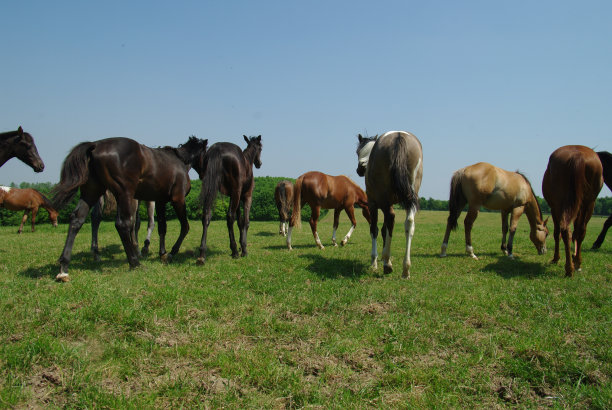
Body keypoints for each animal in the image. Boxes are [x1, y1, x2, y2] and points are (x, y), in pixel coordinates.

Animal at [50, 135, 208, 282]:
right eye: (205, 153)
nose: (204, 175)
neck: (179, 161)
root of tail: (96, 145)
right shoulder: (178, 199)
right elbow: (185, 227)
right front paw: (171, 253)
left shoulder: (160, 201)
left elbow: (162, 228)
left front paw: (162, 253)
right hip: (124, 194)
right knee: (123, 225)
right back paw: (135, 262)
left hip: (91, 192)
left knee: (77, 220)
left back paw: (64, 268)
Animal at [197, 133, 262, 264]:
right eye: (261, 148)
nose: (259, 163)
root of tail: (217, 149)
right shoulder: (246, 196)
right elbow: (245, 221)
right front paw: (243, 249)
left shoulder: (234, 196)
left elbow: (240, 221)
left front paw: (241, 245)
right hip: (236, 191)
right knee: (229, 217)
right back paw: (235, 251)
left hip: (210, 187)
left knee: (206, 216)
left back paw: (202, 254)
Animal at [356, 131, 424, 278]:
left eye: (357, 151)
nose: (359, 170)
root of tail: (399, 136)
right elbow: (386, 228)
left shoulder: (373, 204)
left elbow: (375, 229)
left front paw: (375, 261)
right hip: (411, 198)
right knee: (409, 223)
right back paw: (405, 268)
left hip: (384, 201)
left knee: (388, 221)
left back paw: (387, 263)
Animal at [544, 146, 604, 278]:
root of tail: (577, 156)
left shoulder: (554, 208)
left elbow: (557, 233)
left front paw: (557, 258)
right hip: (588, 203)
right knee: (576, 231)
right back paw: (573, 266)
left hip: (563, 206)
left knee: (567, 231)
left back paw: (570, 266)